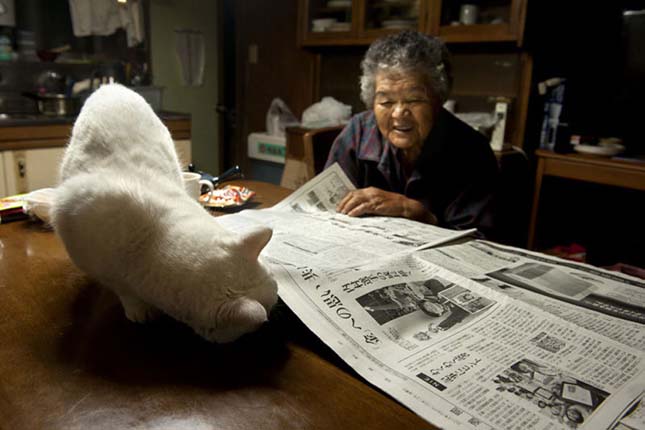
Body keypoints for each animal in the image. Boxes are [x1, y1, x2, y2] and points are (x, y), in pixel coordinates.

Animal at [51, 85, 278, 342]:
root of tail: (111, 86)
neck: (150, 243)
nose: (278, 295)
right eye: (271, 305)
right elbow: (122, 288)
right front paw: (137, 308)